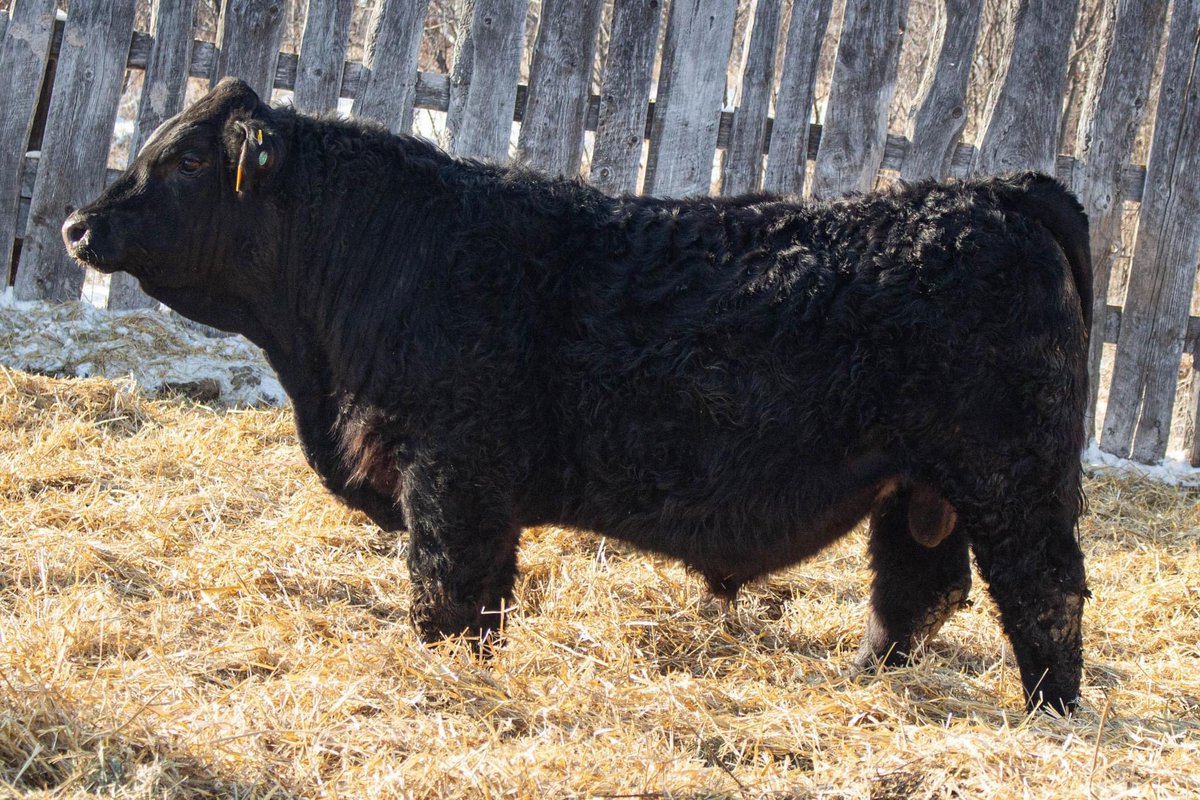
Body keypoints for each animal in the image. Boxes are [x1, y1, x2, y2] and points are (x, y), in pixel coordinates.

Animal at [62, 78, 1092, 714]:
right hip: (924, 485)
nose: (78, 224)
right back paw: (866, 680)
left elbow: (450, 593)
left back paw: (1052, 713)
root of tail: (993, 191)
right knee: (917, 590)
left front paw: (444, 680)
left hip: (1015, 474)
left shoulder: (454, 475)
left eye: (189, 162)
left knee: (1046, 593)